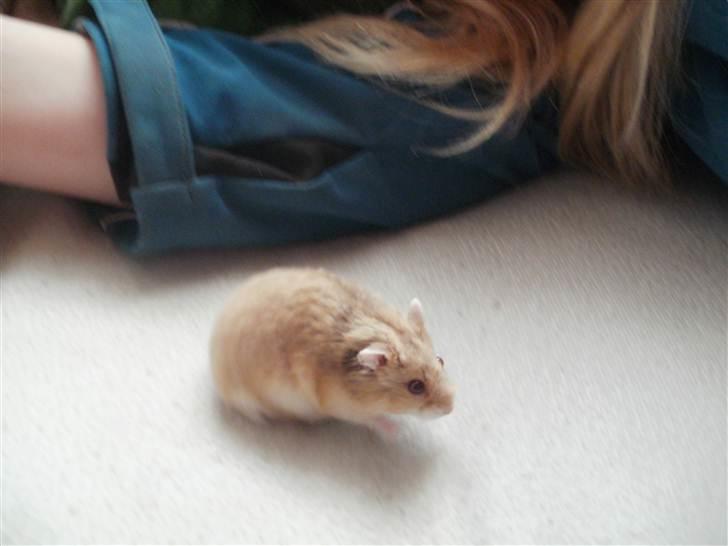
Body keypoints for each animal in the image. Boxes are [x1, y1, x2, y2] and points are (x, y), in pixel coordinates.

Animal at [210, 267, 454, 438]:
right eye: (416, 387)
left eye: (440, 360)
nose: (450, 409)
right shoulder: (342, 406)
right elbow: (372, 419)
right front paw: (396, 431)